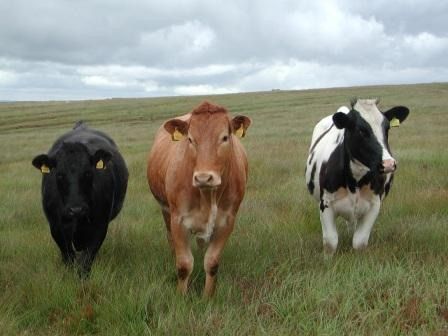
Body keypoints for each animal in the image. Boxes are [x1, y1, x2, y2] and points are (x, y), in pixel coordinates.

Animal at [32, 122, 128, 274]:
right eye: (59, 175)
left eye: (88, 173)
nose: (76, 209)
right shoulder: (56, 227)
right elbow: (68, 257)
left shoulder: (99, 226)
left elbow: (85, 261)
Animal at [148, 100, 250, 296]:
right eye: (190, 139)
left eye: (225, 137)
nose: (203, 177)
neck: (207, 196)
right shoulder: (178, 221)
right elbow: (183, 265)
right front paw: (181, 296)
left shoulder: (227, 222)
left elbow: (212, 263)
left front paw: (207, 296)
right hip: (165, 211)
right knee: (171, 240)